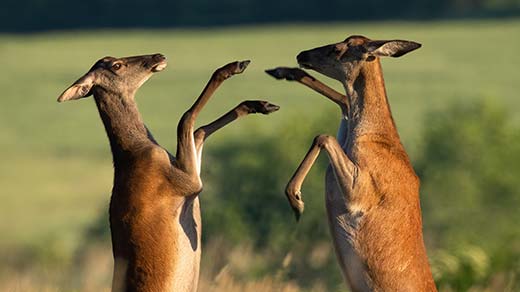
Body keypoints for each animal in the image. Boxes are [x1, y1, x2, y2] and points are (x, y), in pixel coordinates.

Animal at [57, 53, 280, 290]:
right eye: (117, 65)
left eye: (113, 57)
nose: (158, 56)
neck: (135, 152)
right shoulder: (187, 183)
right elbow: (186, 119)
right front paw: (234, 67)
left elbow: (198, 131)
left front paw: (260, 104)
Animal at [266, 36, 436, 292]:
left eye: (338, 49)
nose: (302, 55)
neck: (371, 134)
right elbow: (344, 101)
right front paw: (281, 71)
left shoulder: (363, 188)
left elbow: (324, 136)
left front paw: (296, 199)